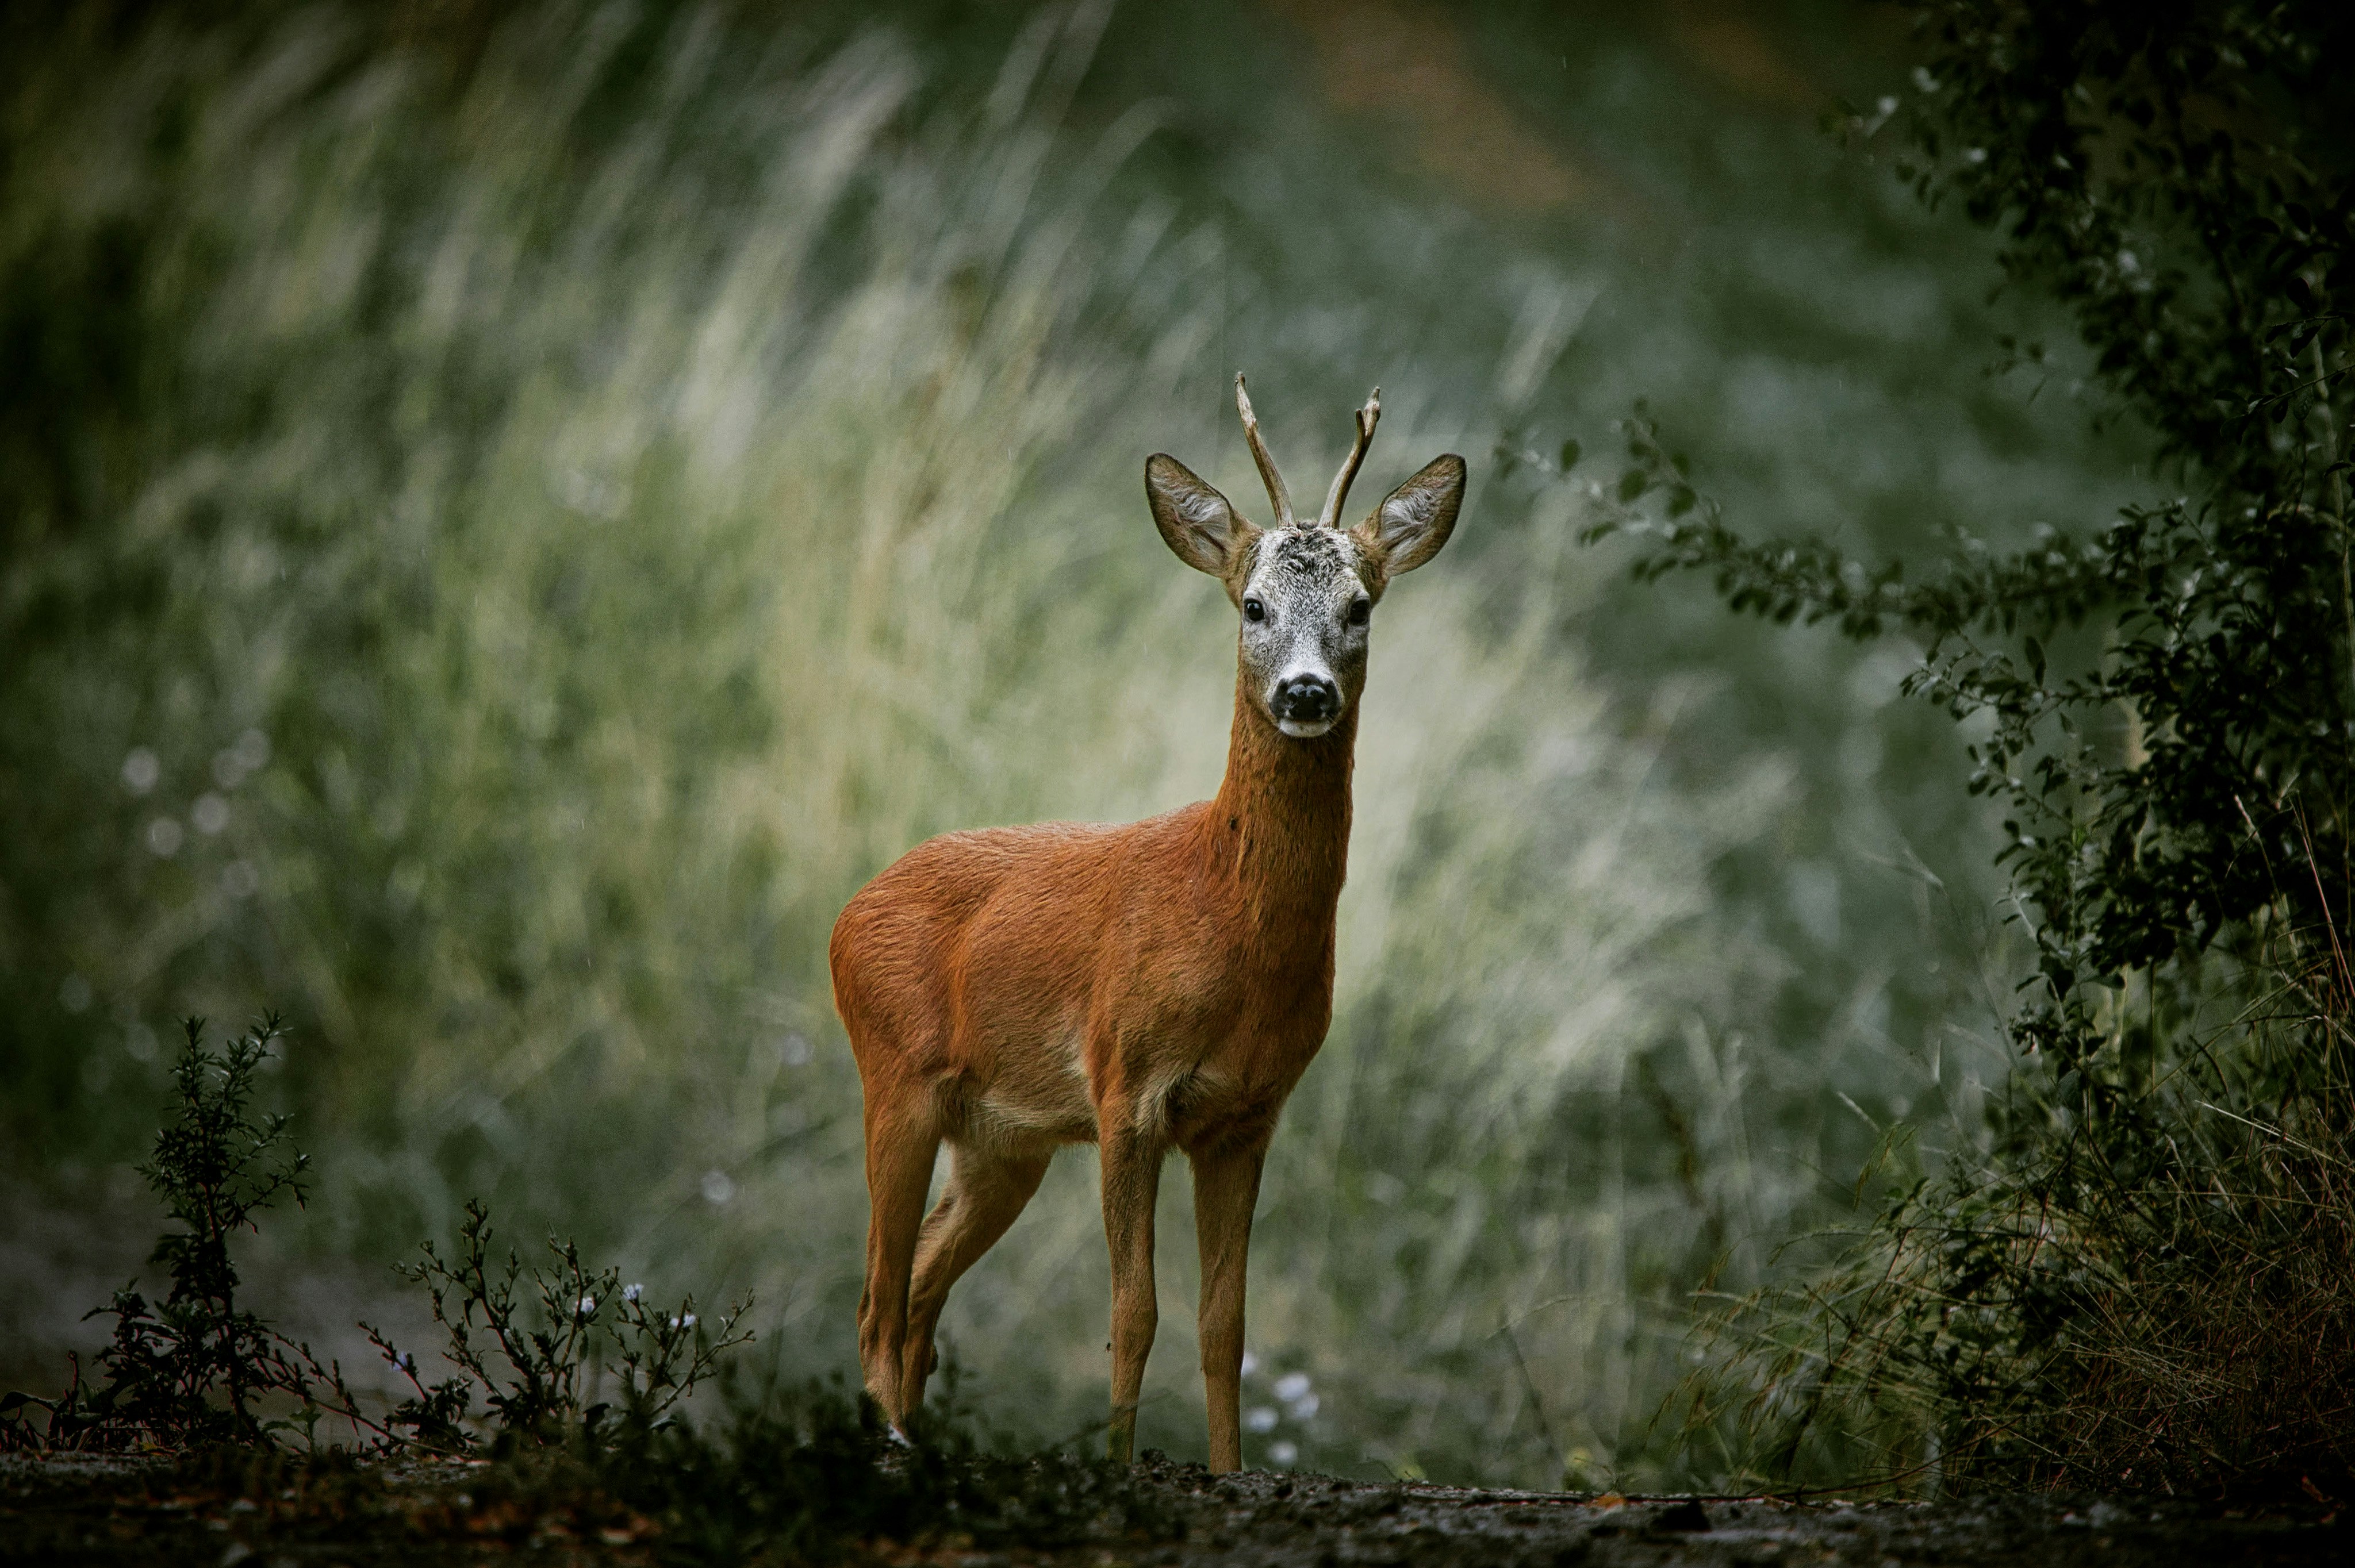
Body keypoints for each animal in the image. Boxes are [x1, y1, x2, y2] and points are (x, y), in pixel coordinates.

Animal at [829, 375, 1465, 1470]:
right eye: (1252, 604)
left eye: (1360, 606)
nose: (1306, 691)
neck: (1226, 915)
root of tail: (845, 910)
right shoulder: (1125, 1087)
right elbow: (1135, 1312)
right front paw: (1118, 1464)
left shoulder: (1247, 1114)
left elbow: (1224, 1323)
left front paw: (1228, 1468)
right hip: (896, 1078)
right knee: (876, 1298)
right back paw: (897, 1450)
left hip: (1001, 1139)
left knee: (917, 1290)